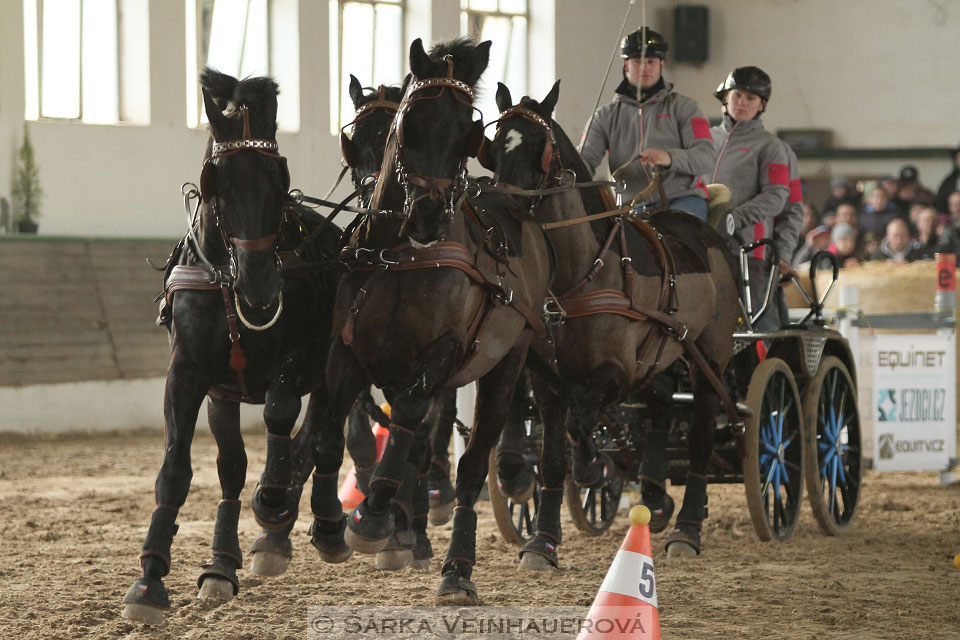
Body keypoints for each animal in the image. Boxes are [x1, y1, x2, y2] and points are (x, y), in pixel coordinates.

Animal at [122, 70, 342, 624]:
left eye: (278, 180)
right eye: (215, 181)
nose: (261, 286)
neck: (228, 282)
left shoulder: (301, 359)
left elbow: (282, 413)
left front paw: (274, 497)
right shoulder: (189, 374)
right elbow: (178, 469)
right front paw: (150, 578)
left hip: (336, 367)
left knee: (320, 436)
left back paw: (305, 520)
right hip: (224, 396)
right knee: (233, 467)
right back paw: (224, 563)